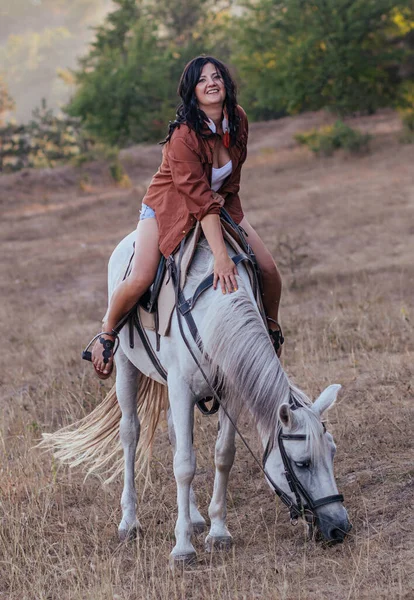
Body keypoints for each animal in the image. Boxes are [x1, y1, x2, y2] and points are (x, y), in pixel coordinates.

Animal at [42, 232, 350, 564]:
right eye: (302, 463)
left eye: (332, 452)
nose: (339, 528)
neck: (212, 313)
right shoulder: (180, 388)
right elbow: (185, 465)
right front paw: (182, 547)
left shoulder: (229, 393)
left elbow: (222, 455)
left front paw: (218, 532)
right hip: (126, 365)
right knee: (130, 433)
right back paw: (129, 522)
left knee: (176, 435)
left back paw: (194, 517)